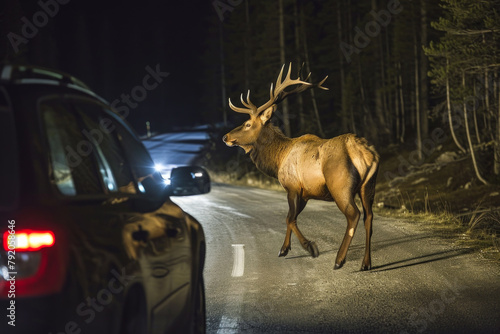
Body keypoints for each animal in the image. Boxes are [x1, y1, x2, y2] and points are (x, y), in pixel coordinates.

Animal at [223, 64, 378, 272]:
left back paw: (339, 259)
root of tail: (365, 152)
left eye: (247, 124)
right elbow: (292, 217)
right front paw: (284, 249)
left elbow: (289, 218)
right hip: (368, 186)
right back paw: (366, 263)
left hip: (340, 186)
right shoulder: (305, 193)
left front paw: (309, 247)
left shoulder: (292, 186)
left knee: (354, 215)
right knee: (369, 217)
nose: (226, 137)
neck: (278, 159)